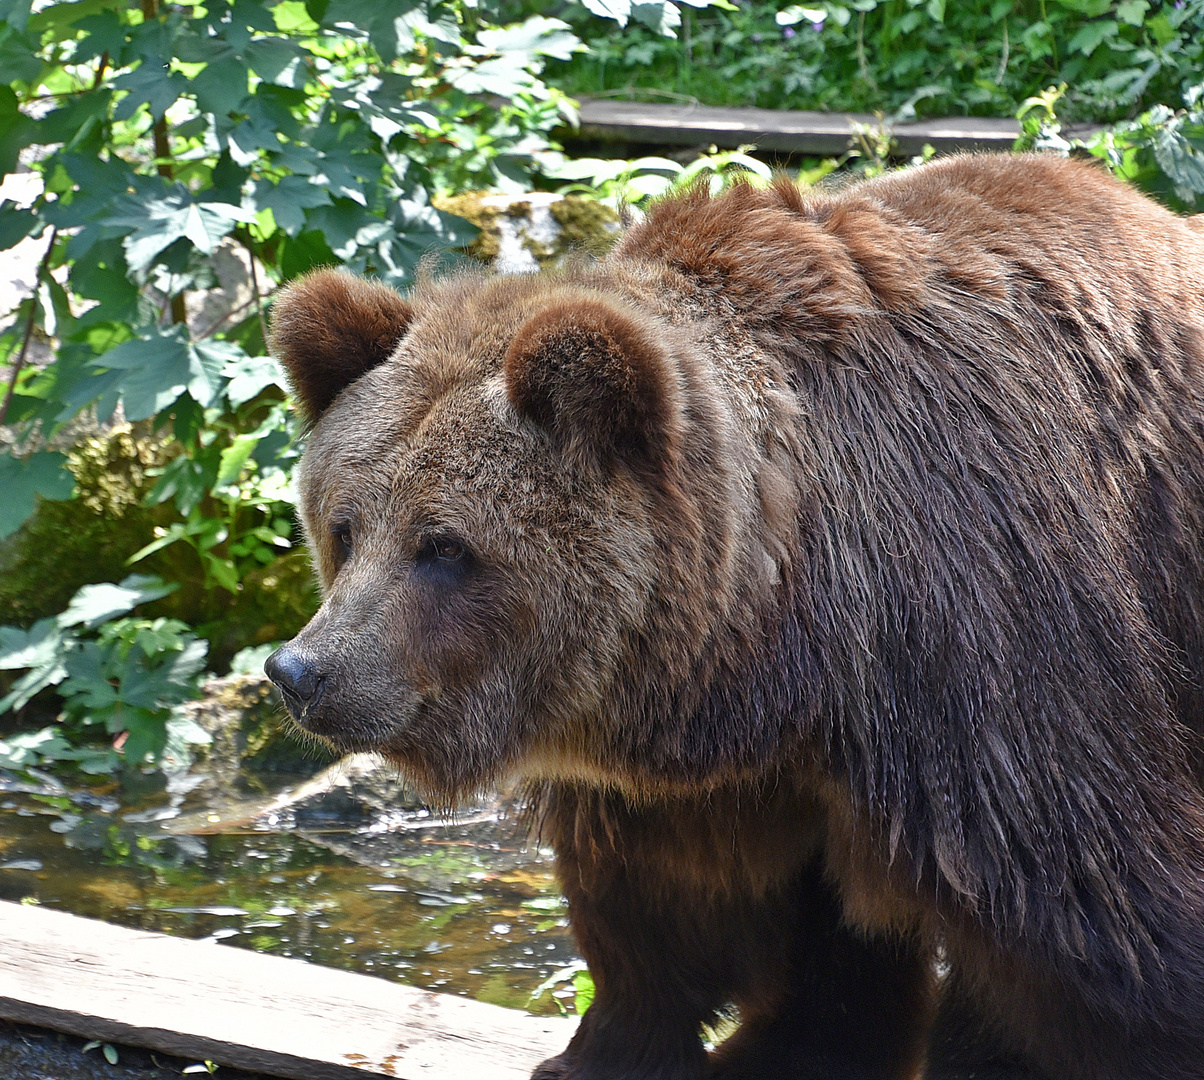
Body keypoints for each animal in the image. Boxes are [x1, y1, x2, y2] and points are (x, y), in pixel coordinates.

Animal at [263, 154, 1204, 1078]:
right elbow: (657, 904)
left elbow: (1101, 924)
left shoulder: (989, 642)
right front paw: (618, 1050)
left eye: (445, 545)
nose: (303, 672)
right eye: (344, 526)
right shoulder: (696, 770)